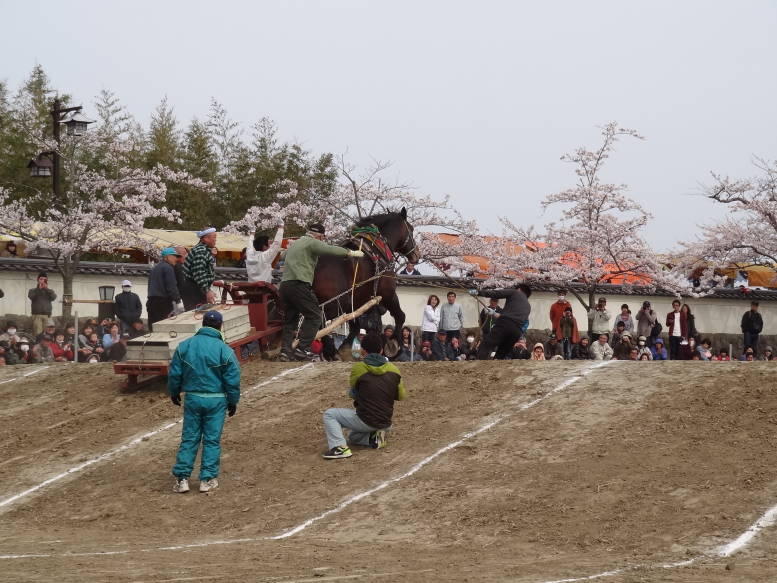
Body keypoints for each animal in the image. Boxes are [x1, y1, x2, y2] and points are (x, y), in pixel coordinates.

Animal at [310, 209, 418, 338]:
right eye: (411, 229)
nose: (416, 254)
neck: (377, 248)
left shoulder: (355, 303)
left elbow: (355, 329)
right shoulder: (388, 293)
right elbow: (400, 317)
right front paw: (395, 338)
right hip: (334, 305)